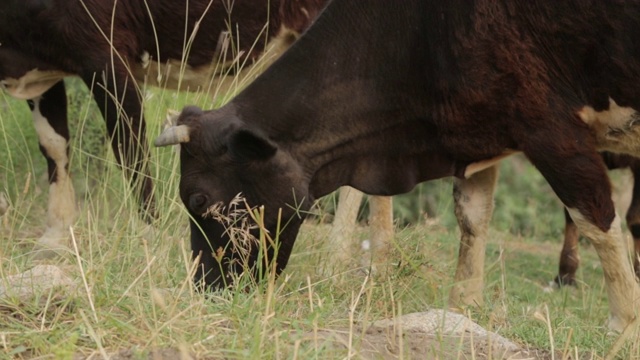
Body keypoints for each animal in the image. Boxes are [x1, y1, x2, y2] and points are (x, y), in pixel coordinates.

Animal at [0, 0, 328, 256]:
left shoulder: (107, 54)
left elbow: (130, 149)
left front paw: (149, 233)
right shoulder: (45, 68)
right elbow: (54, 144)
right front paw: (55, 234)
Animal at [154, 0, 640, 332]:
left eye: (199, 199)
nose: (207, 288)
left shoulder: (549, 125)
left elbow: (596, 216)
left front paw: (624, 327)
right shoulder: (482, 127)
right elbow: (472, 216)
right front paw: (462, 306)